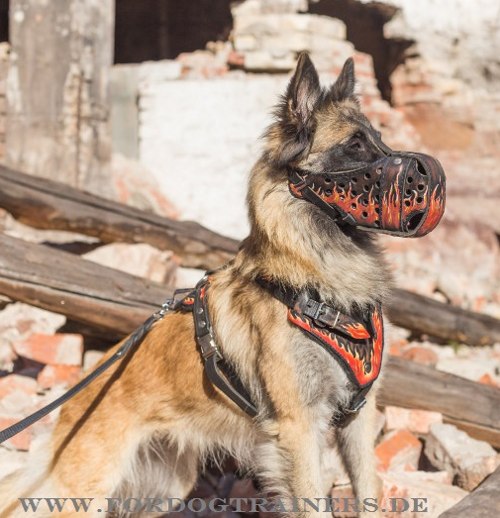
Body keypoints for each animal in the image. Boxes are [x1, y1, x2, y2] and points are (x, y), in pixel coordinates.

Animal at [0, 53, 446, 518]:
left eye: (379, 139)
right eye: (355, 145)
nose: (430, 173)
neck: (315, 285)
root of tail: (70, 404)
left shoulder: (358, 418)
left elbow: (368, 490)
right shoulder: (299, 428)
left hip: (166, 487)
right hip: (87, 493)